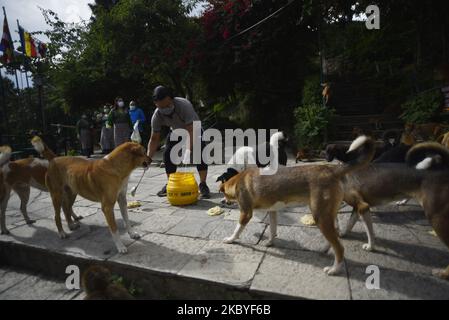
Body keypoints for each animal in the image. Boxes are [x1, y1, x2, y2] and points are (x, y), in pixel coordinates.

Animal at [219, 135, 372, 276]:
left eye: (224, 194)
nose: (224, 202)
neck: (238, 180)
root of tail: (332, 170)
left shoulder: (246, 213)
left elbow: (237, 229)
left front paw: (230, 239)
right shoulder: (272, 211)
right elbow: (273, 229)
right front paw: (270, 242)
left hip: (320, 217)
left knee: (340, 248)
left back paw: (334, 269)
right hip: (328, 215)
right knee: (335, 237)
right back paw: (324, 250)